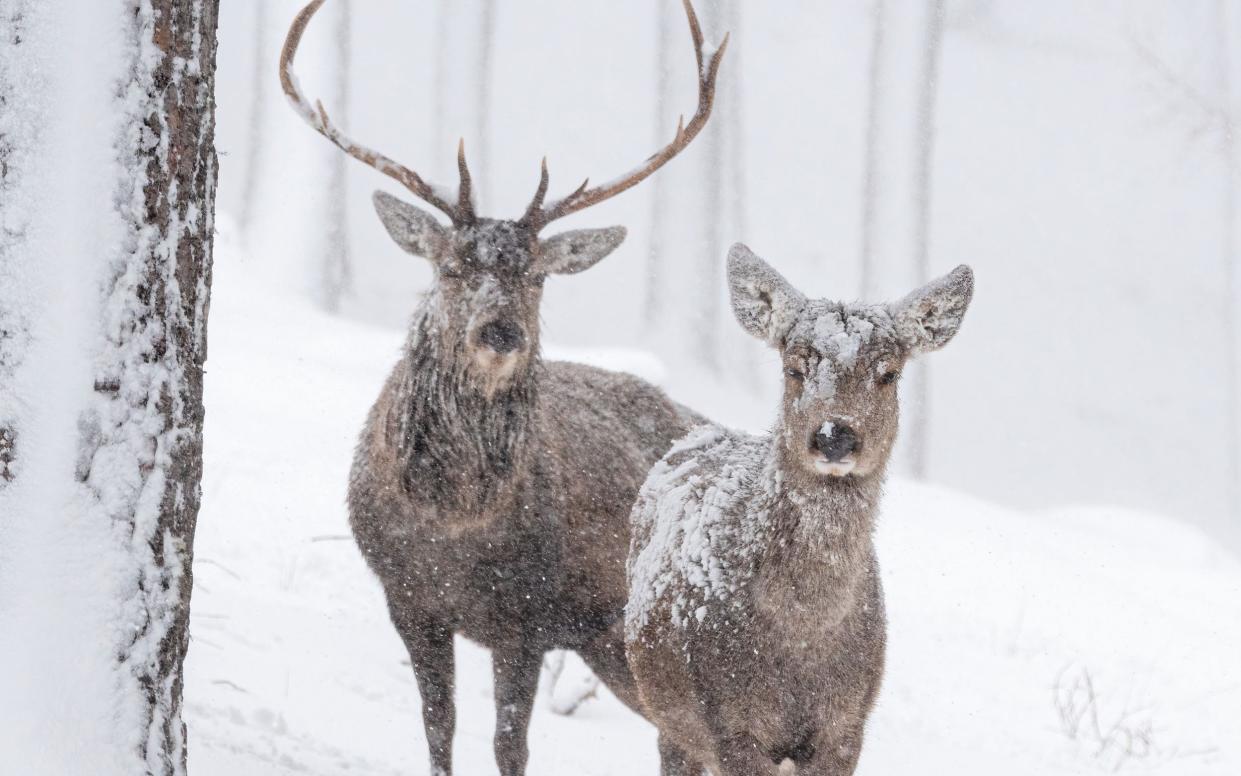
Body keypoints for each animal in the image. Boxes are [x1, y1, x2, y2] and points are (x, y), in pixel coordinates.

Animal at [281, 1, 724, 774]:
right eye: (453, 265)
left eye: (537, 275)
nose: (501, 331)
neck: (454, 525)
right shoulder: (409, 600)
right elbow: (438, 724)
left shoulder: (527, 615)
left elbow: (509, 743)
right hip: (613, 645)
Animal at [625, 247, 972, 774]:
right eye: (794, 368)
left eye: (888, 372)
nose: (834, 435)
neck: (803, 635)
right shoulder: (728, 721)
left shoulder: (847, 725)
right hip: (672, 720)